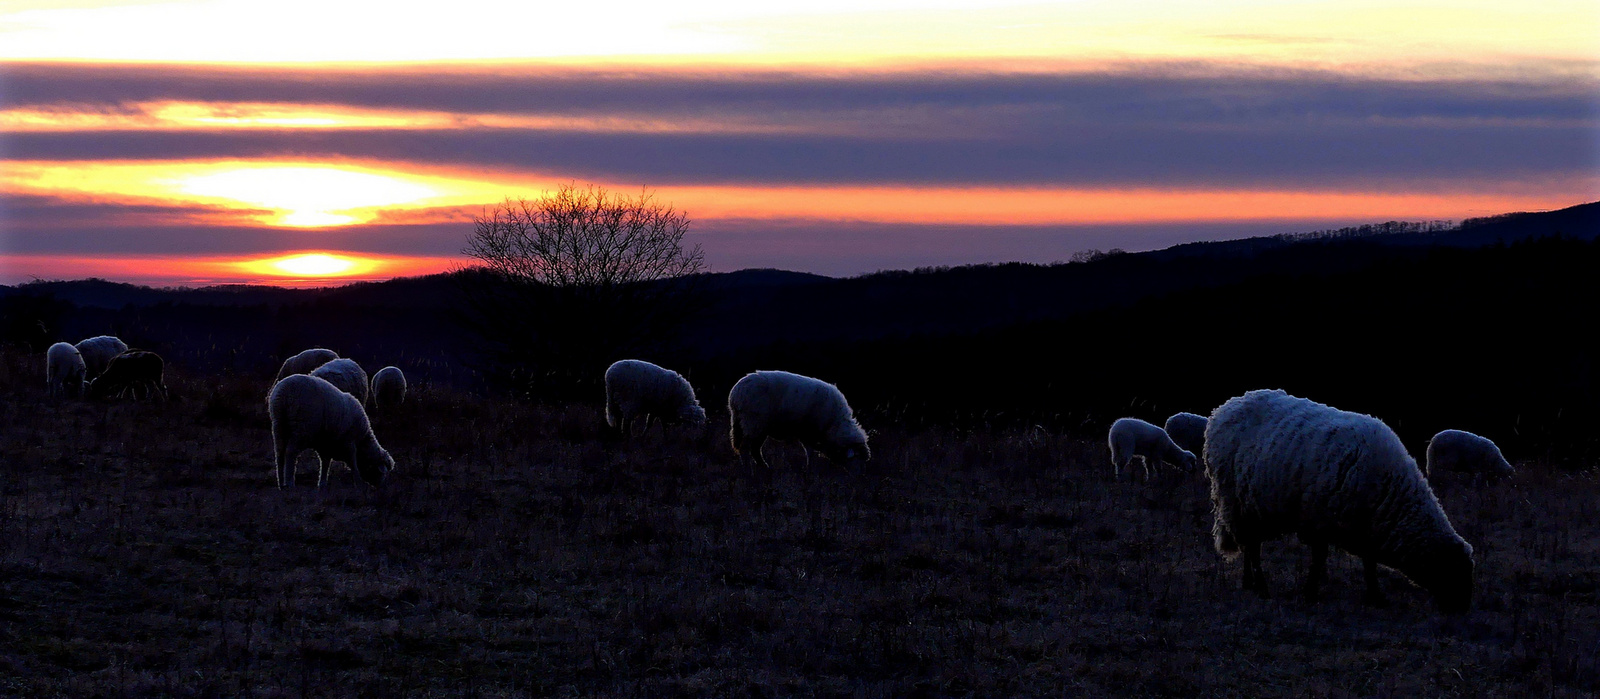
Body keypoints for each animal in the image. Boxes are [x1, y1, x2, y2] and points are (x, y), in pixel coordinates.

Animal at [732, 371, 870, 467]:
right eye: (857, 457)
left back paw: (765, 467)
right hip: (753, 422)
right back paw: (749, 471)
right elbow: (810, 451)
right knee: (745, 449)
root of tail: (736, 392)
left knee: (755, 449)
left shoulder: (807, 433)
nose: (858, 477)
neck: (835, 424)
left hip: (754, 426)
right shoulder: (809, 431)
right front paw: (810, 468)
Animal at [1209, 387, 1472, 611]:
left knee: (1250, 545)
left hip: (1252, 510)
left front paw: (1376, 596)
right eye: (1455, 572)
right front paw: (1311, 593)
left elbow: (1369, 563)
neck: (1391, 491)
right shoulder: (1318, 521)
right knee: (1252, 548)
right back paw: (1261, 588)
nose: (1462, 610)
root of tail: (1225, 407)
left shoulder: (1366, 527)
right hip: (1236, 503)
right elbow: (1320, 559)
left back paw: (1250, 583)